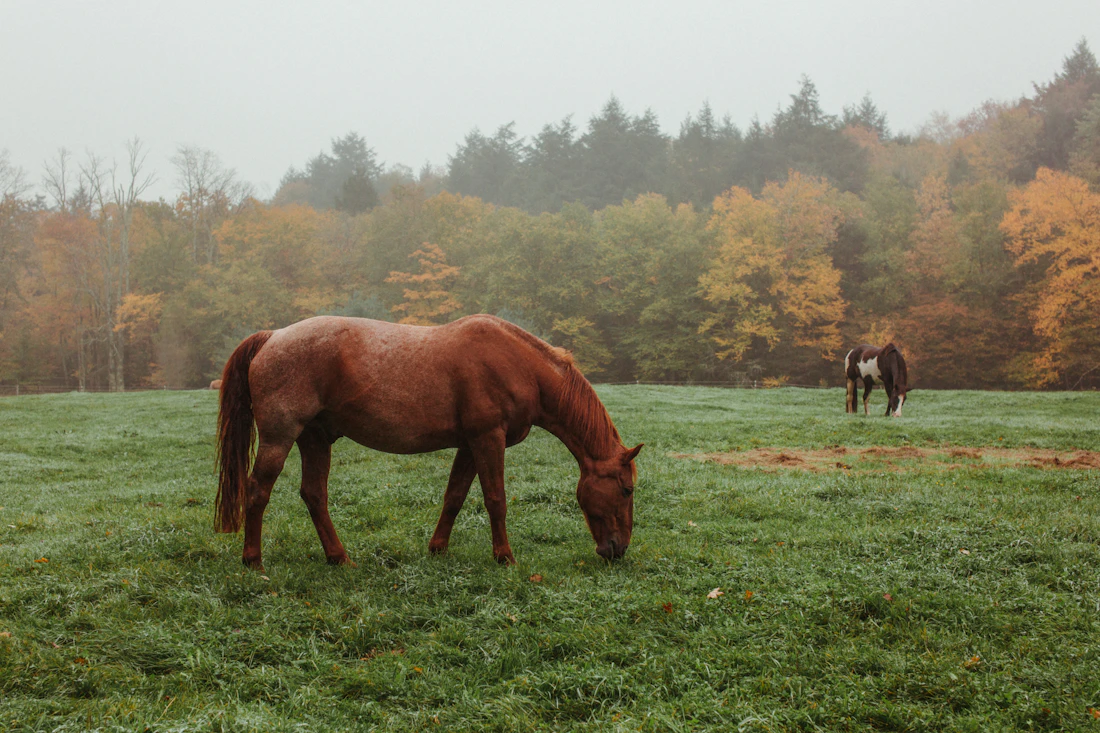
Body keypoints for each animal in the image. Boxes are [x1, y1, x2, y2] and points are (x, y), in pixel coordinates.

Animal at [215, 314, 642, 569]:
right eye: (626, 489)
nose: (617, 549)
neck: (519, 364)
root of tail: (272, 337)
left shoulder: (470, 444)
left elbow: (455, 497)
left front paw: (437, 548)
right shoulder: (488, 439)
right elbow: (496, 499)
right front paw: (505, 557)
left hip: (315, 438)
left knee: (314, 494)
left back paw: (339, 558)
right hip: (280, 437)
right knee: (258, 491)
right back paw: (254, 561)